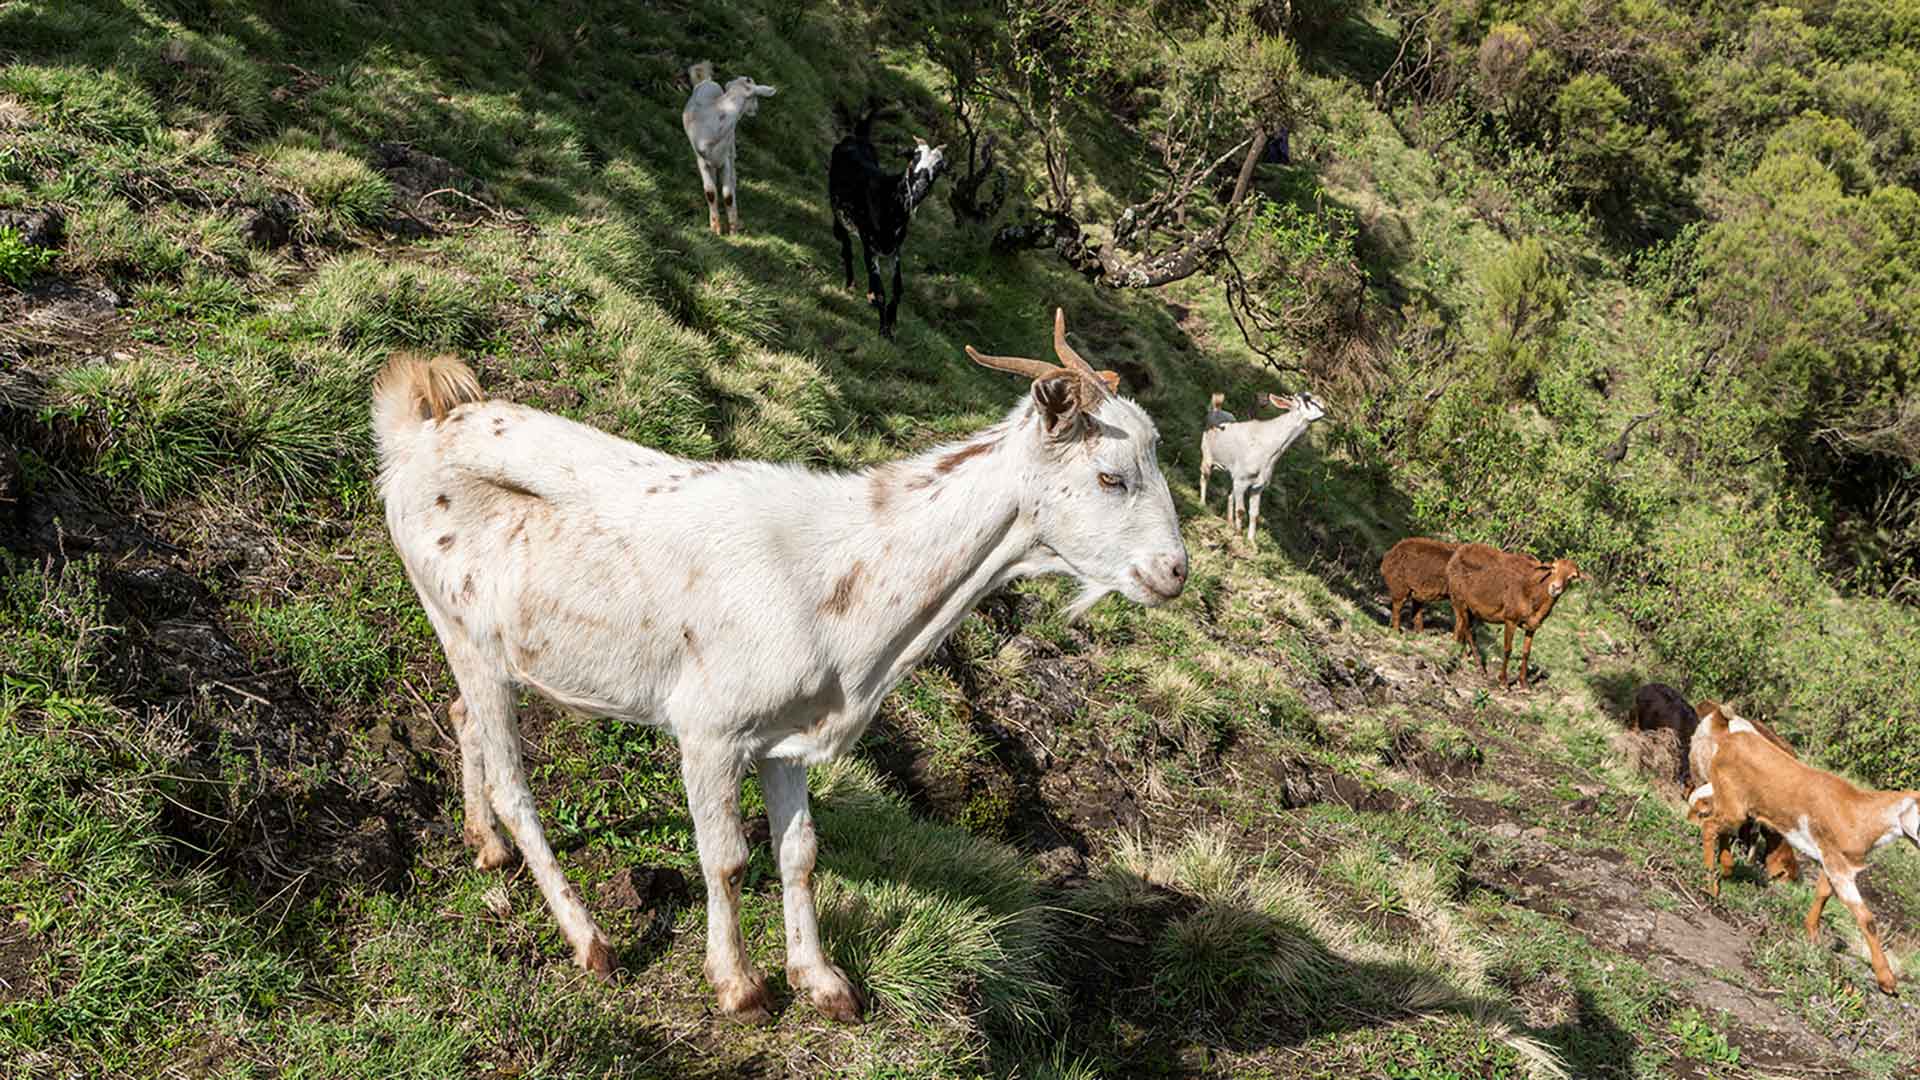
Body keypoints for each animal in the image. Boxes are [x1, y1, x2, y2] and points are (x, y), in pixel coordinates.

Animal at [372, 309, 1186, 1023]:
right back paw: (590, 941)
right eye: (1112, 476)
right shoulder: (708, 728)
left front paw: (822, 982)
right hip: (465, 630)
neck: (839, 581)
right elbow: (728, 858)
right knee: (514, 785)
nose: (1174, 572)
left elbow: (799, 852)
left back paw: (485, 848)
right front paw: (739, 987)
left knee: (460, 717)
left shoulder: (786, 736)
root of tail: (416, 428)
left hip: (488, 648)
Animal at [682, 62, 777, 235]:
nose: (755, 110)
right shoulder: (701, 159)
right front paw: (716, 229)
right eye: (754, 96)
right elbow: (710, 193)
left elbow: (727, 195)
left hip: (730, 147)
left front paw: (733, 230)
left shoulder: (725, 158)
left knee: (732, 176)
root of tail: (706, 81)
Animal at [829, 106, 947, 338]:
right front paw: (883, 330)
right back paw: (850, 284)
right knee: (845, 246)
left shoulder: (895, 249)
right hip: (838, 212)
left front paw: (891, 324)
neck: (889, 198)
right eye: (914, 158)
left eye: (938, 168)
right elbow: (880, 290)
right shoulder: (869, 243)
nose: (920, 188)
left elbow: (897, 288)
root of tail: (855, 137)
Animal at [1197, 392, 1327, 545]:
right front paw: (1239, 534)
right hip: (1207, 456)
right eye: (1307, 401)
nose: (1324, 408)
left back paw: (1229, 521)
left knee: (1230, 494)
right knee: (1204, 478)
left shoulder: (1258, 486)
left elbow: (1254, 514)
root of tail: (1216, 409)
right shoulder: (1242, 481)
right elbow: (1241, 511)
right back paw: (1202, 503)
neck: (1267, 446)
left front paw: (1251, 541)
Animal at [1443, 543, 1581, 691]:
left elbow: (1526, 652)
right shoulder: (1510, 620)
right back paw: (1479, 666)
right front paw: (1503, 682)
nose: (1555, 588)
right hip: (1459, 598)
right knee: (1468, 630)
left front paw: (1524, 683)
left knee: (1464, 627)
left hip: (1472, 608)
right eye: (1553, 568)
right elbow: (1508, 650)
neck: (1534, 593)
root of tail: (1459, 551)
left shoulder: (1532, 626)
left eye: (1573, 576)